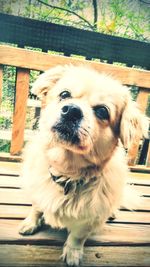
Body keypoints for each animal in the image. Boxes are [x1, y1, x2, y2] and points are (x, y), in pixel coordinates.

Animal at [18, 65, 148, 267]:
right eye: (64, 94)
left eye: (102, 111)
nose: (71, 110)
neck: (66, 173)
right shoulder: (37, 192)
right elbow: (36, 208)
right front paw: (31, 222)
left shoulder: (89, 220)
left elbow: (77, 237)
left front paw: (73, 252)